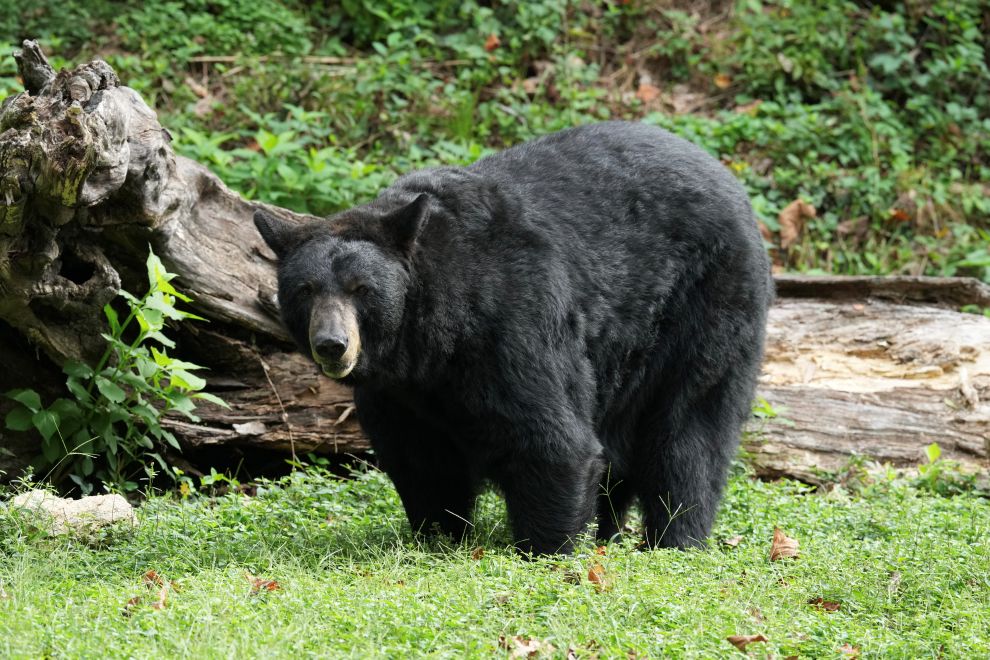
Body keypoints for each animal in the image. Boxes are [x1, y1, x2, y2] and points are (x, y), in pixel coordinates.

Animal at [254, 121, 773, 555]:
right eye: (305, 290)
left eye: (362, 289)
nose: (332, 344)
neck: (431, 337)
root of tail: (728, 178)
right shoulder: (399, 390)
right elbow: (420, 459)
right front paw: (438, 537)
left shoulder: (513, 318)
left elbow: (552, 441)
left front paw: (547, 548)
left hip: (707, 303)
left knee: (689, 430)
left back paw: (674, 538)